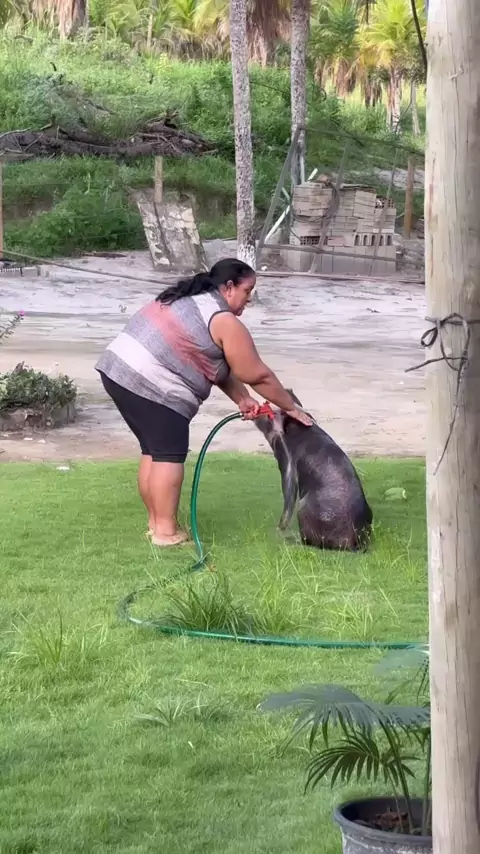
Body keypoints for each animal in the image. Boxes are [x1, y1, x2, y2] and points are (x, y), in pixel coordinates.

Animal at [254, 391, 373, 551]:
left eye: (271, 415)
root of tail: (353, 543)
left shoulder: (286, 461)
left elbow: (288, 490)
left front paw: (280, 528)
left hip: (303, 508)